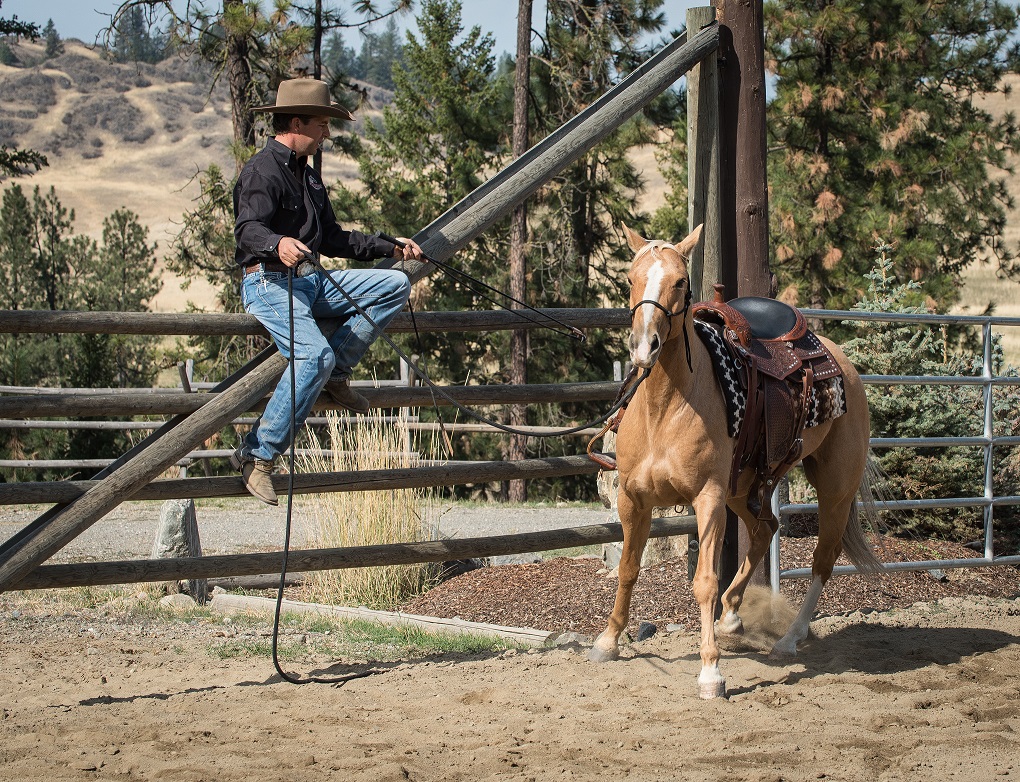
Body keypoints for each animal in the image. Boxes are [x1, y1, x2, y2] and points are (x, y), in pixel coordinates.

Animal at [588, 223, 883, 699]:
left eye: (680, 282)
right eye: (630, 278)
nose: (645, 345)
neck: (664, 409)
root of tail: (843, 365)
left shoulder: (708, 499)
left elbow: (705, 582)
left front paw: (711, 672)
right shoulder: (633, 499)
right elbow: (628, 569)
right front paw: (608, 641)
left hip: (833, 487)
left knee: (823, 556)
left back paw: (789, 638)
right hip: (744, 489)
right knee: (766, 529)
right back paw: (731, 617)